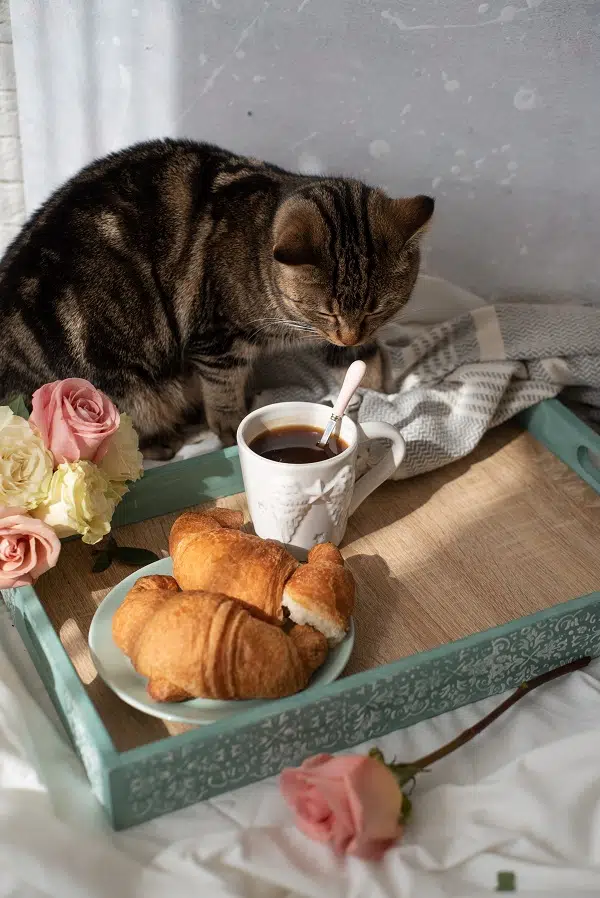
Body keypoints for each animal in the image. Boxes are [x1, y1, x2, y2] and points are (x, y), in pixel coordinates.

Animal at [0, 138, 434, 456]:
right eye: (325, 312)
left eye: (378, 309)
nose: (348, 335)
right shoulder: (217, 340)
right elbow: (224, 394)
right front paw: (230, 426)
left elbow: (366, 362)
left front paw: (385, 392)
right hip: (122, 383)